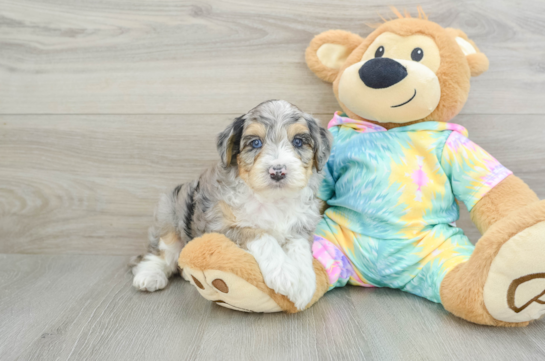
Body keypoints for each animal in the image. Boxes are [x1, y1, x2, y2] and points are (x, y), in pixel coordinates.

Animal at [132, 100, 332, 308]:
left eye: (298, 142)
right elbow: (260, 235)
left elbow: (300, 248)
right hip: (169, 216)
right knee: (158, 254)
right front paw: (285, 275)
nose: (277, 171)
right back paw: (149, 276)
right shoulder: (219, 226)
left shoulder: (301, 226)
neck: (272, 199)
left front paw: (304, 285)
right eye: (255, 143)